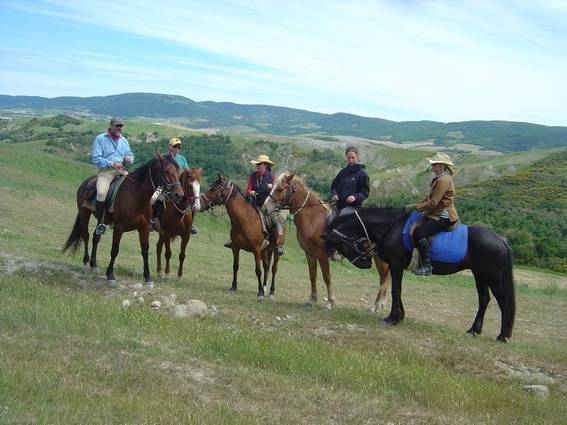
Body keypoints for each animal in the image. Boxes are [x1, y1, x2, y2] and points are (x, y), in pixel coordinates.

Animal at [64, 154, 184, 286]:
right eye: (166, 171)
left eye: (177, 171)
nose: (179, 195)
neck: (136, 196)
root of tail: (86, 182)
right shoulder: (119, 228)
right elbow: (114, 250)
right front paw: (110, 275)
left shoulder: (144, 228)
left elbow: (145, 251)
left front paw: (147, 278)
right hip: (84, 214)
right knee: (86, 236)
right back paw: (86, 263)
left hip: (101, 220)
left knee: (96, 237)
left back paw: (93, 265)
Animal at [264, 174, 392, 310]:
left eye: (280, 188)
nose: (265, 208)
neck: (313, 217)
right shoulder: (309, 253)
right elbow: (312, 275)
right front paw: (312, 299)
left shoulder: (322, 255)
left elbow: (327, 277)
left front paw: (330, 302)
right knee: (385, 277)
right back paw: (380, 304)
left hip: (380, 259)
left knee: (384, 278)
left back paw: (376, 306)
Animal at [324, 205, 516, 342]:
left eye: (340, 242)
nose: (364, 263)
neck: (391, 227)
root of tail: (500, 240)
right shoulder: (397, 266)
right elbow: (398, 291)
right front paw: (400, 316)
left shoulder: (395, 264)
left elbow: (395, 291)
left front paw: (391, 318)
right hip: (479, 275)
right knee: (484, 299)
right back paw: (474, 330)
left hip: (492, 278)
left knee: (502, 302)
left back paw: (502, 335)